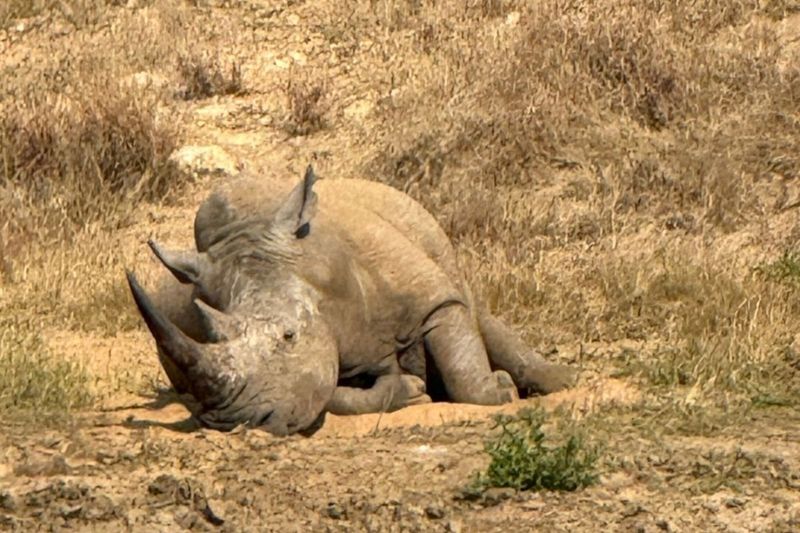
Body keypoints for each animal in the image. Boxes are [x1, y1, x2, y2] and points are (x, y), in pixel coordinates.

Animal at [126, 166, 574, 435]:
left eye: (289, 336)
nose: (232, 422)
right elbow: (328, 392)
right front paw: (411, 390)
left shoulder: (430, 297)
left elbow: (461, 357)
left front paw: (499, 392)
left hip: (414, 222)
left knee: (472, 305)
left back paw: (561, 380)